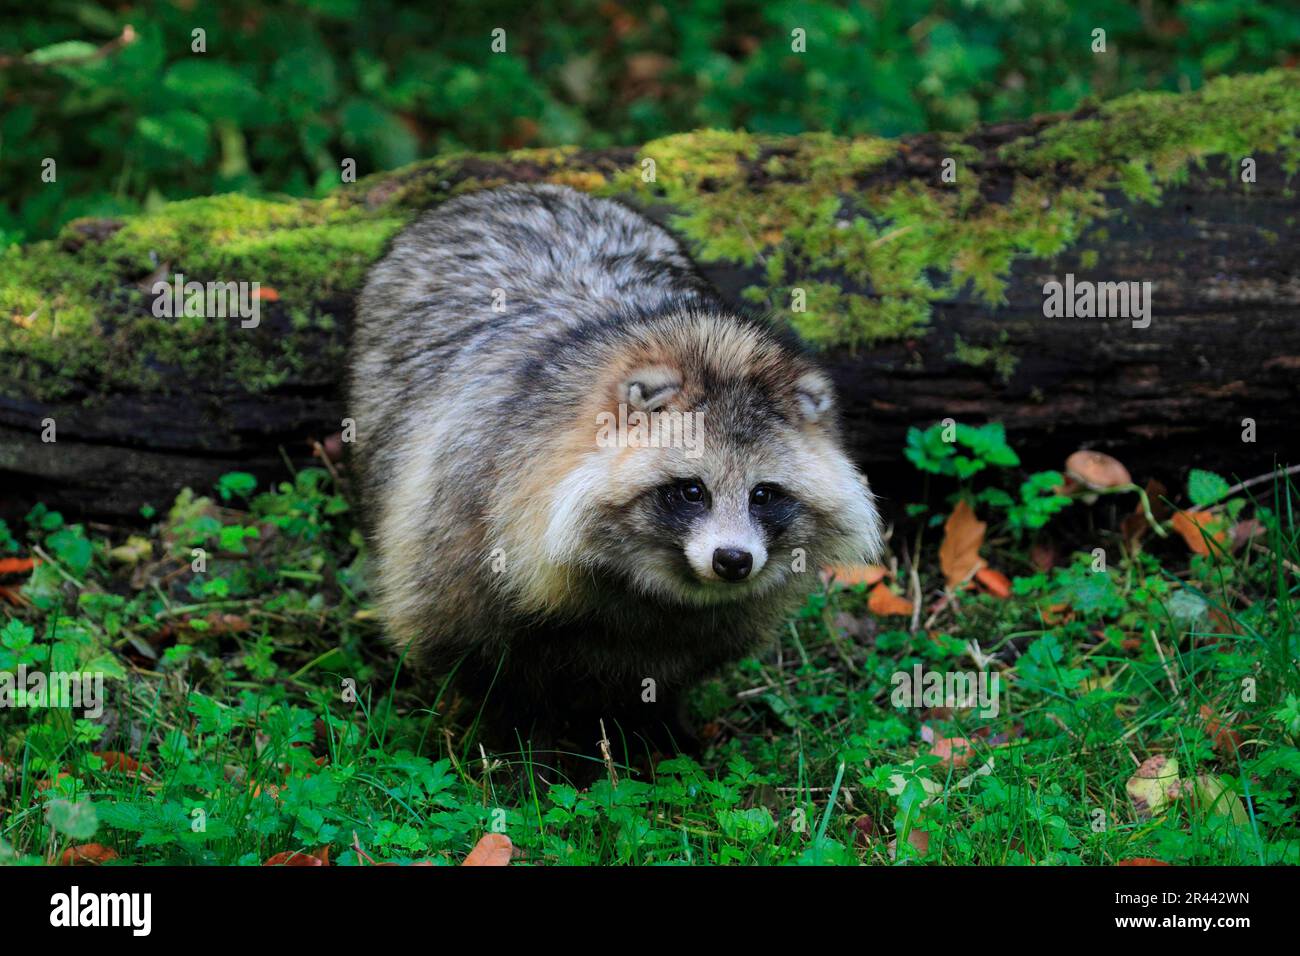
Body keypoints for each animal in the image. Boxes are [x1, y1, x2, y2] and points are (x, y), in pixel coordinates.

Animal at [348, 183, 883, 749]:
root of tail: (514, 188)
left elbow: (664, 675)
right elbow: (472, 657)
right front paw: (515, 739)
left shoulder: (711, 620)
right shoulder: (464, 515)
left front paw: (657, 728)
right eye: (692, 490)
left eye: (763, 494)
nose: (733, 561)